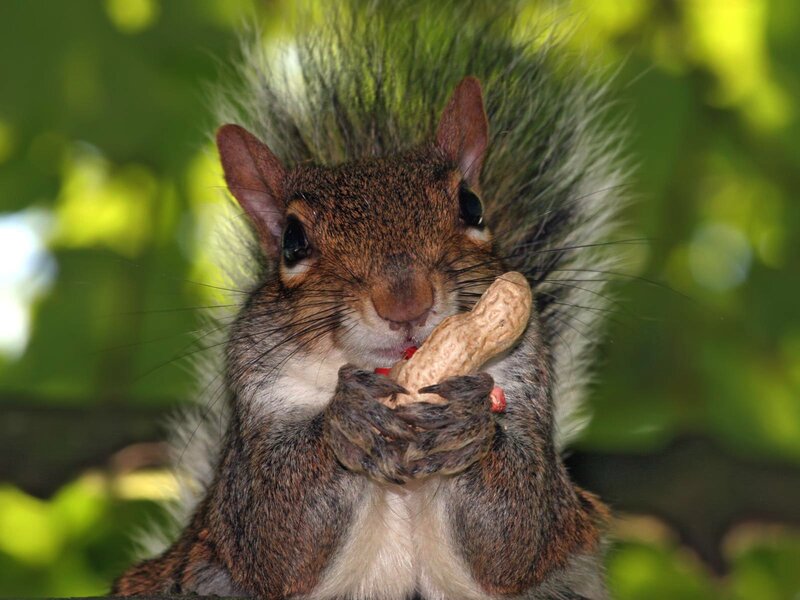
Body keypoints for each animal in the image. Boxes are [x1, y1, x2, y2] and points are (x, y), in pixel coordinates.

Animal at [112, 2, 625, 599]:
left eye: (472, 206)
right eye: (292, 242)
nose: (406, 303)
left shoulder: (525, 384)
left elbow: (520, 532)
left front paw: (467, 420)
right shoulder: (255, 422)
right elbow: (274, 530)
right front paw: (347, 417)